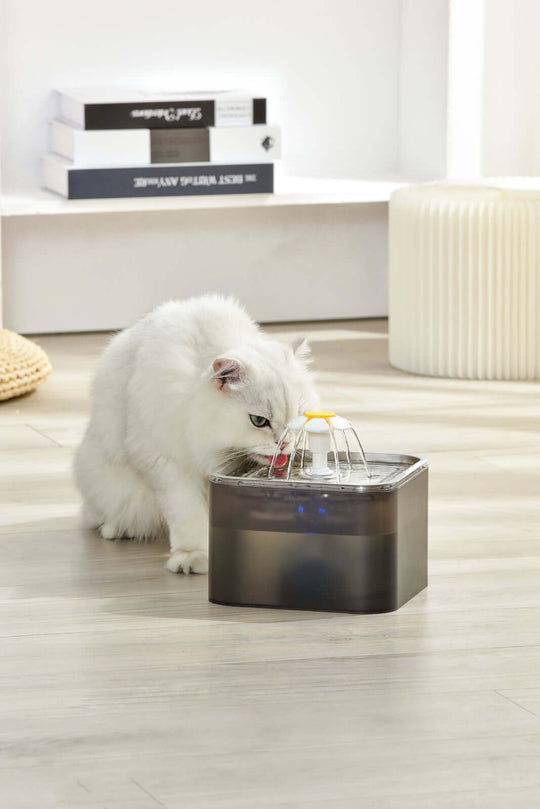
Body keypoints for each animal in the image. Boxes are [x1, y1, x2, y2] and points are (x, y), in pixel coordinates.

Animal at [71, 296, 316, 576]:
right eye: (258, 421)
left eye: (299, 416)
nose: (284, 444)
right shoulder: (167, 463)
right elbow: (187, 514)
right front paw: (193, 556)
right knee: (106, 516)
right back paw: (117, 530)